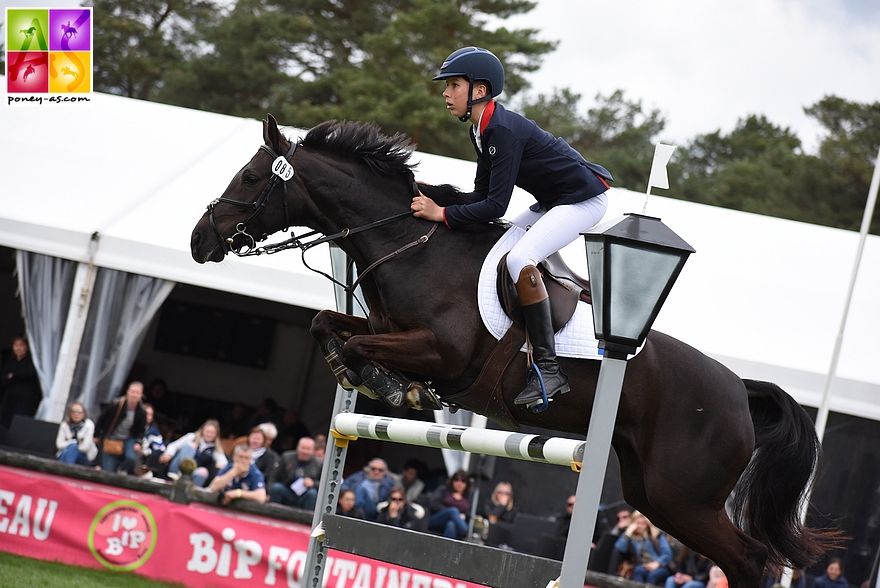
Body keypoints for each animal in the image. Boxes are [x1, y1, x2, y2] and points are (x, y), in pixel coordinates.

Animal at [192, 116, 840, 588]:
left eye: (251, 179)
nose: (199, 241)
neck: (410, 244)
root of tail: (739, 389)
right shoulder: (386, 326)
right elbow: (326, 324)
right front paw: (368, 375)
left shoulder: (442, 353)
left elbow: (357, 340)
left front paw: (392, 383)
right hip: (655, 494)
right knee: (738, 559)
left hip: (684, 496)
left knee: (750, 559)